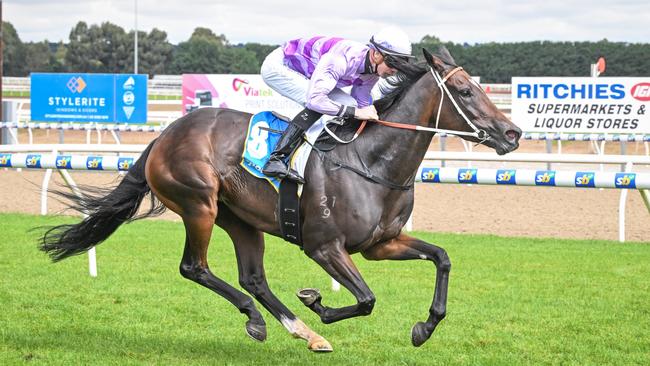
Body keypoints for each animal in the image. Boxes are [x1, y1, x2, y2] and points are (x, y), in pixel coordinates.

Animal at [39, 48, 516, 352]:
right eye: (467, 92)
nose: (512, 133)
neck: (371, 161)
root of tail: (164, 135)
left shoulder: (381, 244)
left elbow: (442, 258)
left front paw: (424, 328)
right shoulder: (324, 247)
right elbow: (366, 299)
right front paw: (317, 302)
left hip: (241, 219)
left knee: (253, 278)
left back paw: (303, 332)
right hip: (199, 205)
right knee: (195, 267)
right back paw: (260, 319)